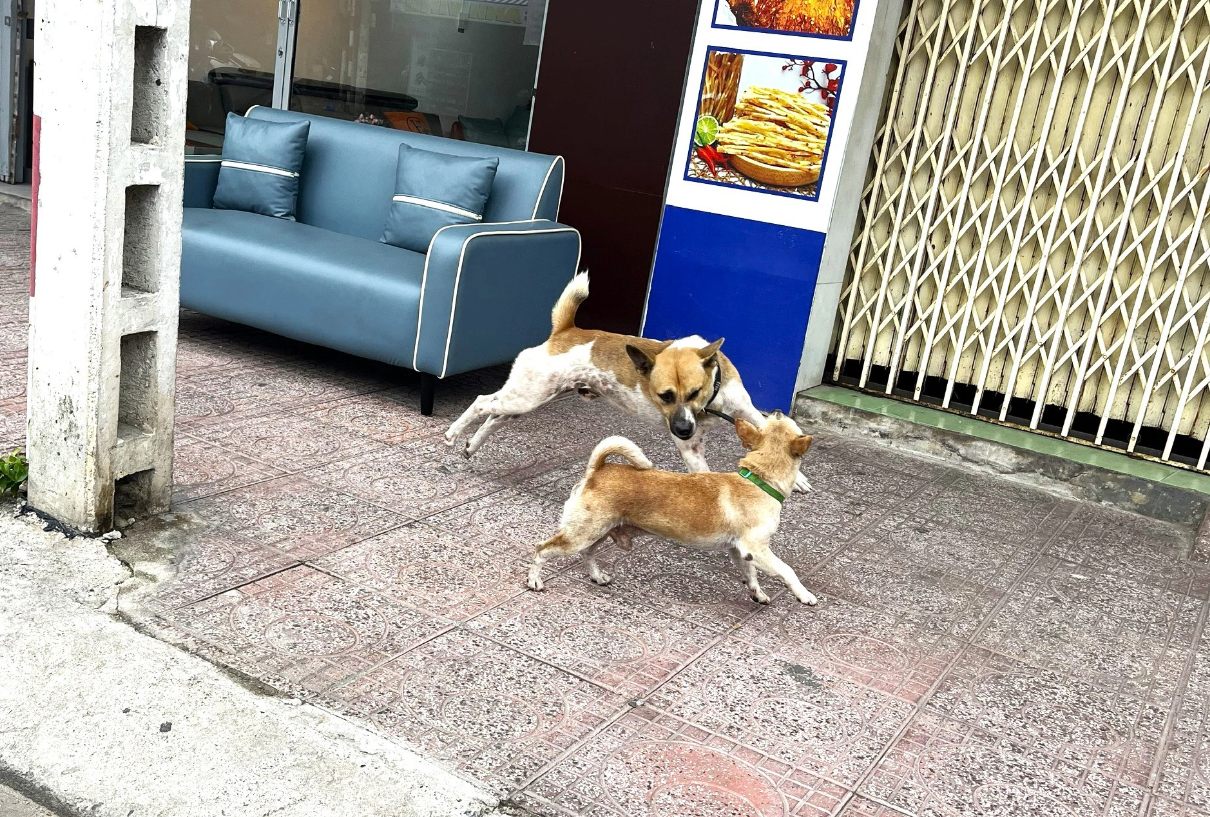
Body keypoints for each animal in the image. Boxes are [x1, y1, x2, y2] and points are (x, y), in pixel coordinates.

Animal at [445, 273, 813, 491]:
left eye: (695, 392)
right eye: (663, 396)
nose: (683, 429)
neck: (710, 405)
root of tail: (565, 332)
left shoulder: (745, 409)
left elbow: (770, 428)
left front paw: (799, 477)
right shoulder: (690, 448)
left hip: (527, 400)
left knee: (494, 418)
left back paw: (472, 444)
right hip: (526, 396)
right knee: (481, 403)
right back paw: (453, 433)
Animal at [527, 416, 817, 607]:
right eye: (783, 419)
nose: (776, 409)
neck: (758, 479)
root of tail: (597, 470)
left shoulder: (741, 551)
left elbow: (751, 575)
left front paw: (757, 593)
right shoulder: (756, 549)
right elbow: (787, 570)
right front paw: (804, 594)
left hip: (599, 531)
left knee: (587, 553)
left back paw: (597, 576)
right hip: (580, 534)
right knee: (541, 549)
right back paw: (534, 580)